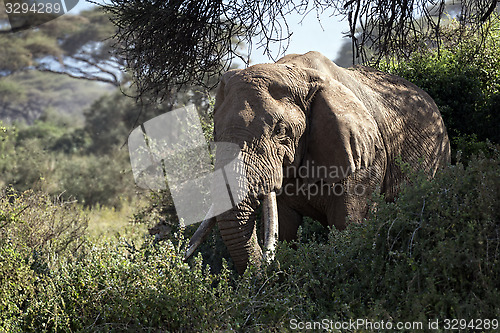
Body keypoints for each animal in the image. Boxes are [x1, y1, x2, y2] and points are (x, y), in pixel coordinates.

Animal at [186, 49, 452, 272]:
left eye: (280, 131)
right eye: (215, 133)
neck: (297, 73)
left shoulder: (364, 157)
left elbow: (347, 225)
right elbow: (285, 227)